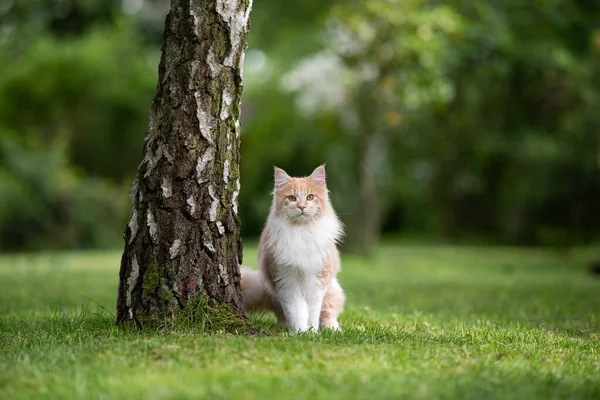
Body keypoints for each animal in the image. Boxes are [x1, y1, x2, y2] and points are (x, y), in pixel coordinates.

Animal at [240, 164, 344, 332]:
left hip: (332, 290)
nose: (301, 206)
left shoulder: (317, 283)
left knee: (329, 314)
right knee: (281, 315)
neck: (302, 232)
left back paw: (332, 329)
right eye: (292, 198)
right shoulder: (287, 283)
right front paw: (300, 332)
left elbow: (313, 314)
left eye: (310, 197)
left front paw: (312, 332)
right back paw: (284, 326)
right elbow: (297, 312)